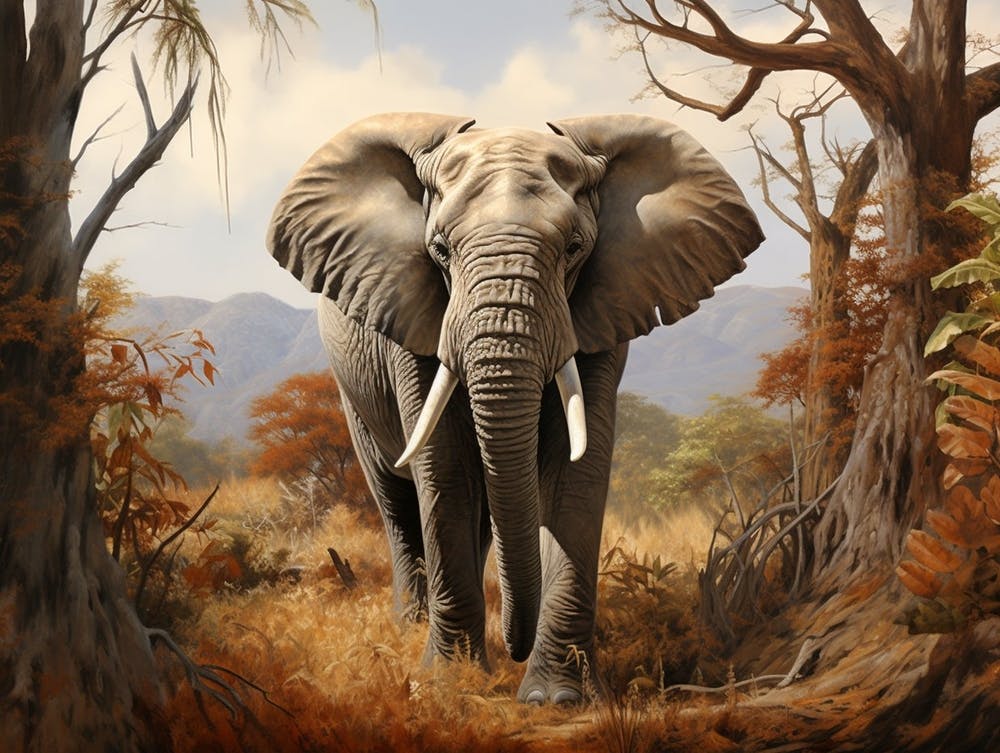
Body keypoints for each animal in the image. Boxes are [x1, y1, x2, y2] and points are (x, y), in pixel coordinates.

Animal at [266, 112, 763, 704]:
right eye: (439, 250)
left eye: (574, 248)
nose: (514, 645)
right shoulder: (413, 314)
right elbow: (446, 468)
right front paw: (450, 685)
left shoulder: (604, 307)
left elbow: (578, 471)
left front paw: (559, 699)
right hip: (351, 391)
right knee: (396, 499)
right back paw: (410, 625)